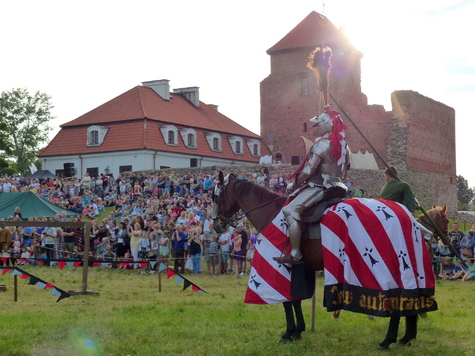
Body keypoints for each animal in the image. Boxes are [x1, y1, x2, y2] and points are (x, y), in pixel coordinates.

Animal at [212, 172, 446, 350]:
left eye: (215, 196)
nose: (216, 225)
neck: (271, 213)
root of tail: (409, 220)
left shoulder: (283, 267)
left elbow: (287, 301)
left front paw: (288, 333)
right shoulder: (301, 269)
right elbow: (296, 300)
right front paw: (298, 331)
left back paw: (387, 341)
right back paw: (405, 339)